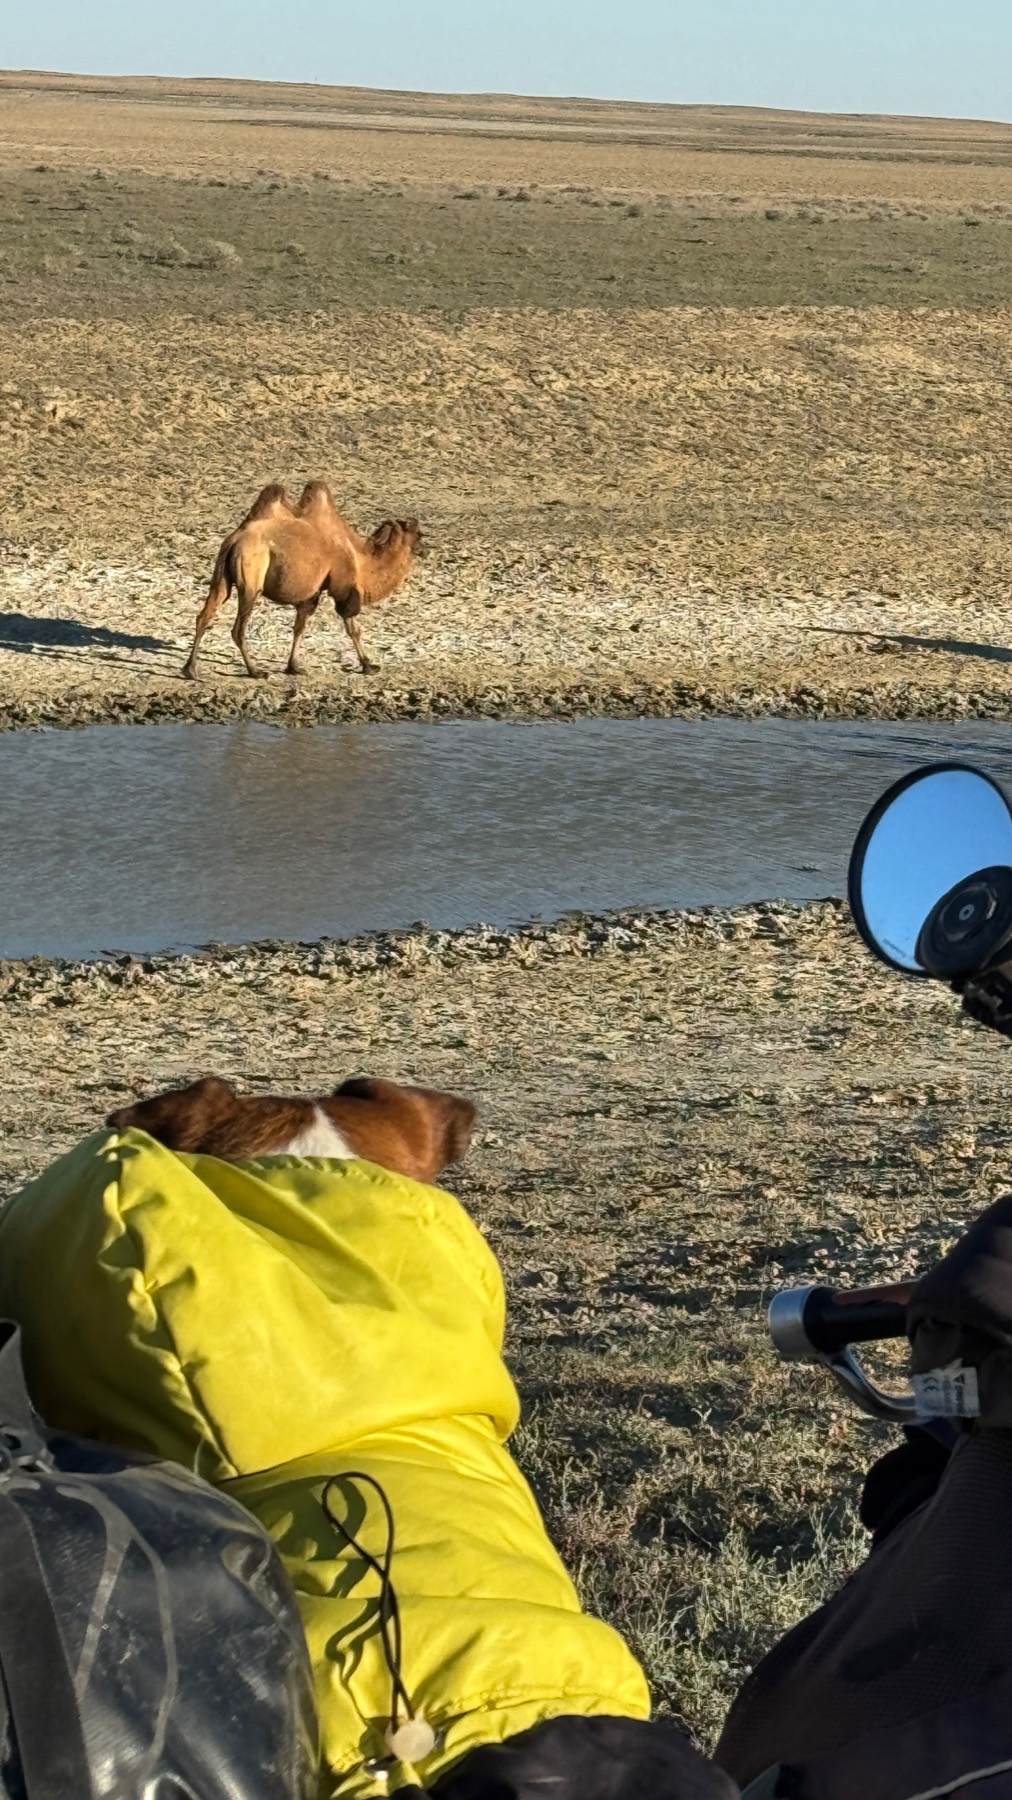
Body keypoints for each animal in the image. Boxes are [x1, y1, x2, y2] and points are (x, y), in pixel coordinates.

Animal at [182, 481, 423, 680]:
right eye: (419, 534)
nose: (425, 549)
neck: (360, 557)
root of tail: (235, 540)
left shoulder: (312, 592)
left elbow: (299, 627)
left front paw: (293, 666)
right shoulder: (343, 589)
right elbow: (353, 627)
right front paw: (368, 666)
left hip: (221, 574)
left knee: (205, 614)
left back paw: (190, 669)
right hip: (251, 579)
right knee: (238, 628)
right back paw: (255, 671)